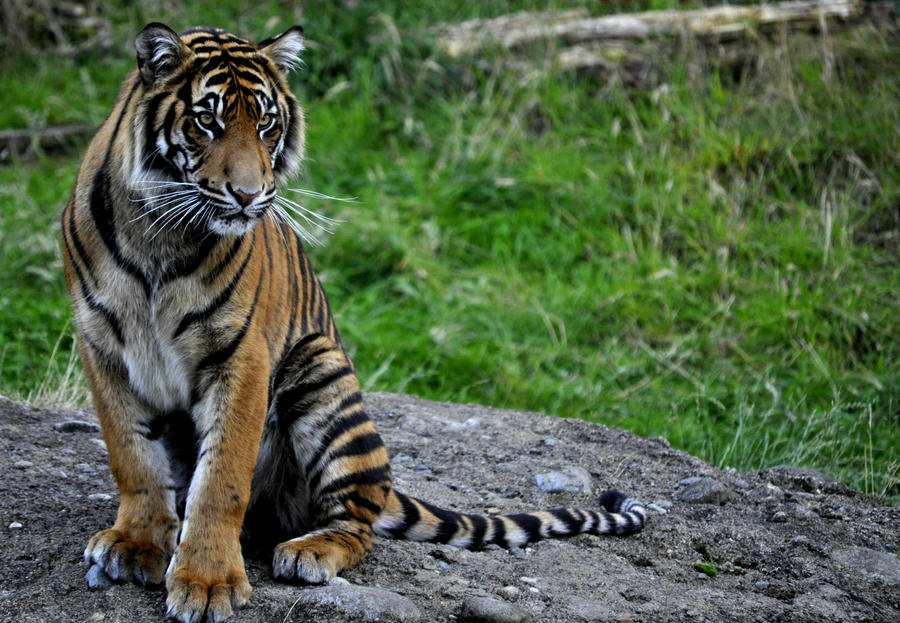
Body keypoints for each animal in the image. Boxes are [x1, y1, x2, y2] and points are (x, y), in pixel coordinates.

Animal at [61, 23, 648, 623]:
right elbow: (132, 458)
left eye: (266, 124)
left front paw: (206, 581)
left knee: (356, 524)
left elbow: (222, 478)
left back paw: (310, 550)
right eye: (208, 121)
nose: (249, 195)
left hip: (321, 374)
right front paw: (137, 543)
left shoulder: (242, 356)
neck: (159, 233)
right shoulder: (102, 347)